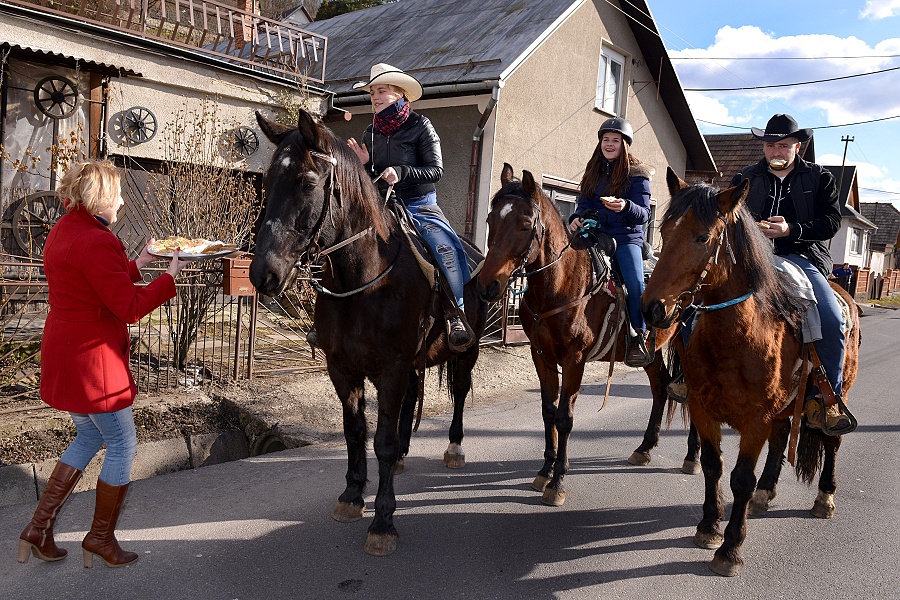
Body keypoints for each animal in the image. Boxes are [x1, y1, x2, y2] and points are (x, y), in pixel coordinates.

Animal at [249, 110, 487, 556]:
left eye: (307, 182)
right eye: (268, 181)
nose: (262, 274)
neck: (364, 280)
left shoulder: (390, 370)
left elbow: (383, 441)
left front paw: (383, 521)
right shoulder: (343, 368)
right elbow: (356, 432)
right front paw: (352, 496)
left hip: (467, 351)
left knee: (461, 392)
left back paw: (454, 447)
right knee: (413, 397)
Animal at [476, 164, 698, 507]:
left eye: (525, 225)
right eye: (490, 220)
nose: (488, 285)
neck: (562, 284)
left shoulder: (574, 359)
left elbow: (565, 418)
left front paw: (557, 482)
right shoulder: (541, 356)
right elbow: (549, 412)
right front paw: (544, 470)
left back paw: (693, 458)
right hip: (651, 352)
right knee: (660, 387)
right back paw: (644, 448)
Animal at [640, 168, 860, 576]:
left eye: (703, 236)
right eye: (664, 229)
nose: (651, 308)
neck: (740, 336)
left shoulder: (756, 419)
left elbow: (741, 479)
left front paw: (730, 549)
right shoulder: (704, 410)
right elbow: (713, 466)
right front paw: (709, 527)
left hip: (839, 393)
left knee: (831, 440)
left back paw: (825, 497)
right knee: (782, 436)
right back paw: (767, 491)